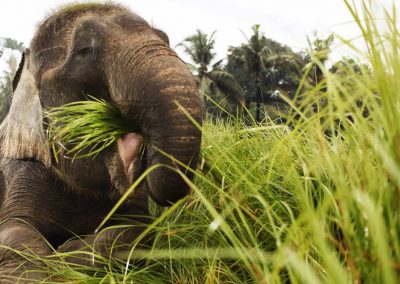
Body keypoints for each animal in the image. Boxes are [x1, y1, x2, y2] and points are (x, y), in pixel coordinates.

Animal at [0, 2, 202, 280]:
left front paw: (67, 253)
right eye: (85, 50)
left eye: (166, 39)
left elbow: (138, 228)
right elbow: (14, 231)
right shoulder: (21, 172)